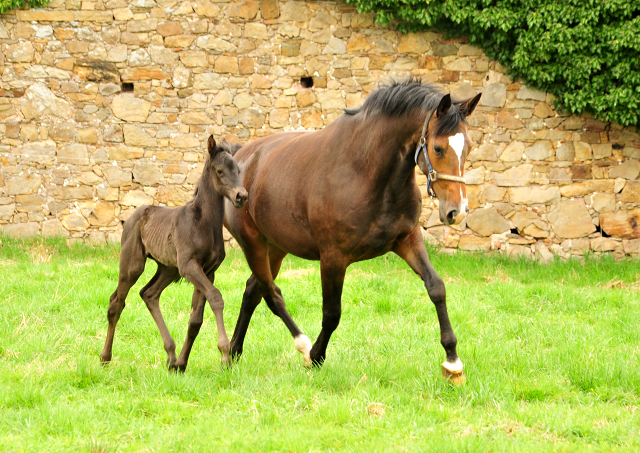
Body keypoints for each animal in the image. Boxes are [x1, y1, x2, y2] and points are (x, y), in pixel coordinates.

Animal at [100, 136, 248, 370]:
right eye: (219, 170)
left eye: (238, 170)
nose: (241, 196)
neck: (203, 222)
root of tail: (132, 216)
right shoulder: (189, 266)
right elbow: (216, 297)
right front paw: (225, 355)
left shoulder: (208, 270)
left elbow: (196, 319)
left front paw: (181, 364)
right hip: (133, 265)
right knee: (117, 303)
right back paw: (105, 357)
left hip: (168, 268)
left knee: (149, 294)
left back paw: (170, 355)